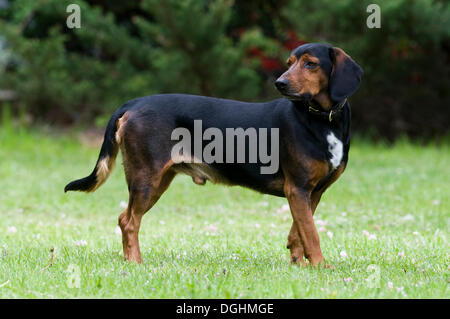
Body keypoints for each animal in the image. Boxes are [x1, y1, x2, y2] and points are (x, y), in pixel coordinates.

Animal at [66, 43, 362, 268]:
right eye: (289, 63)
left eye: (310, 64)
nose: (280, 82)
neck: (323, 119)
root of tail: (133, 103)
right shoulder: (297, 188)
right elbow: (311, 233)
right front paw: (320, 267)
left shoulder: (311, 192)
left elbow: (299, 231)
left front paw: (299, 264)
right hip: (146, 178)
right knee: (129, 222)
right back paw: (136, 263)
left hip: (157, 181)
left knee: (124, 218)